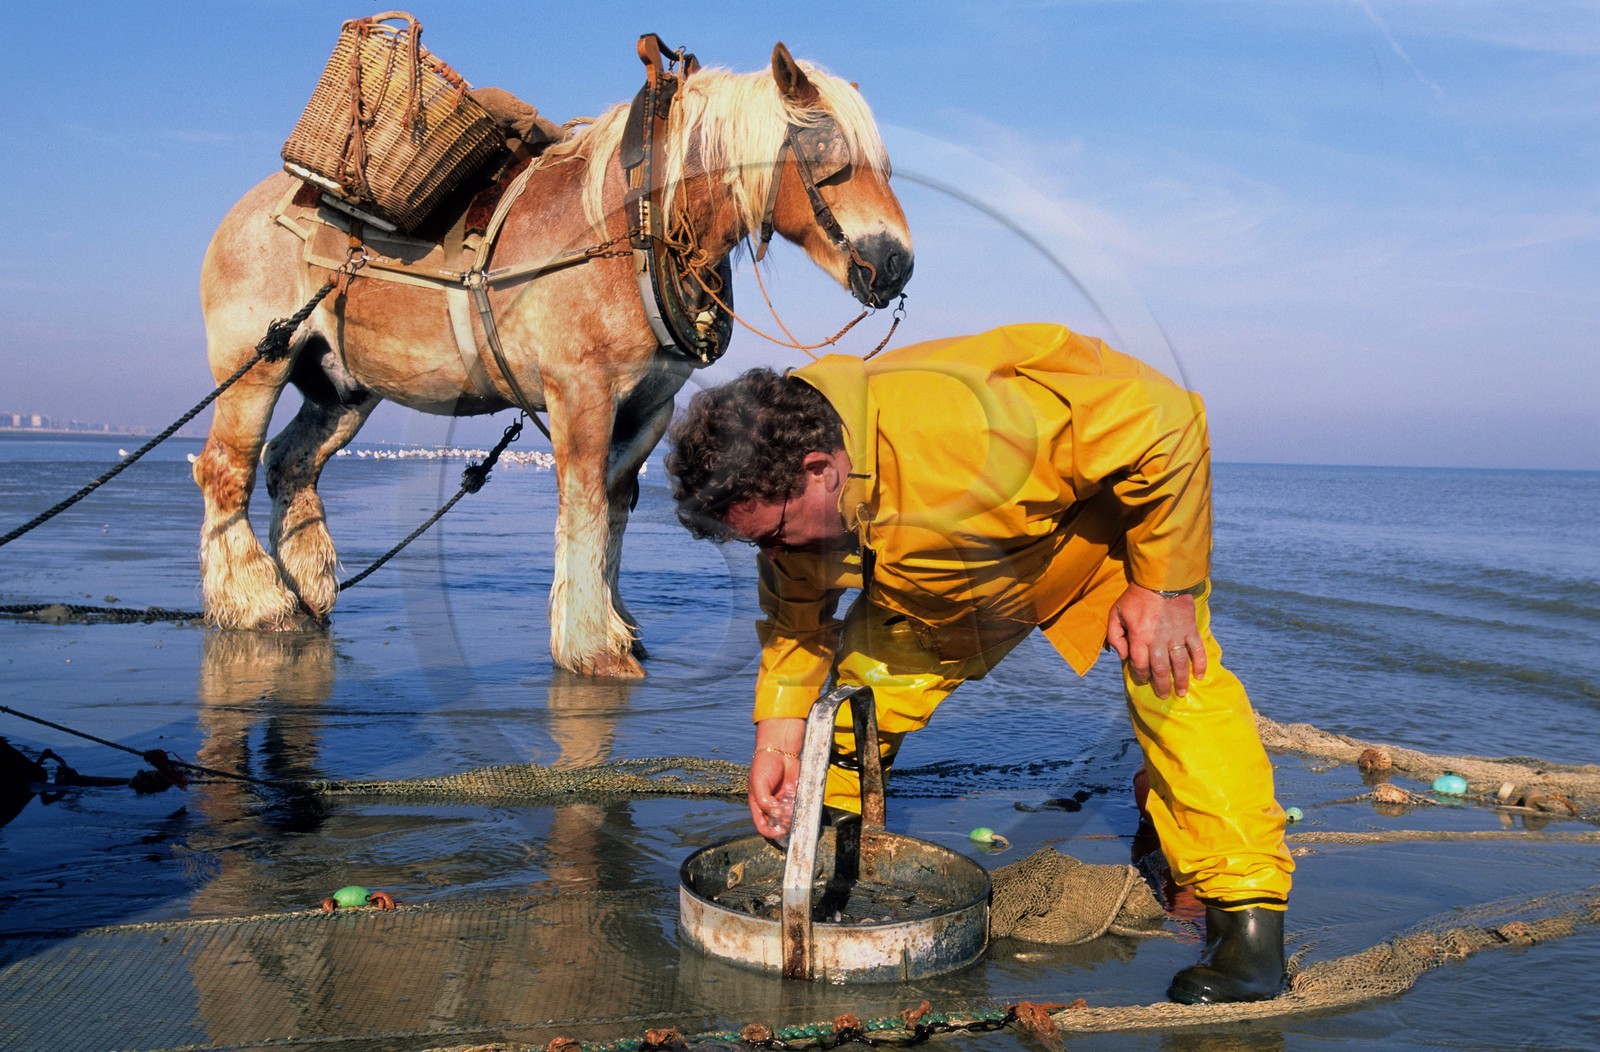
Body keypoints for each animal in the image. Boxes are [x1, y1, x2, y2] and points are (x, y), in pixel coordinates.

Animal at [193, 42, 913, 677]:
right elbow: (584, 501)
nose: (897, 261)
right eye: (824, 148)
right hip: (259, 360)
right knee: (226, 468)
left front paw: (615, 622)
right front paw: (591, 645)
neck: (634, 229)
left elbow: (615, 503)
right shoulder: (580, 389)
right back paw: (259, 602)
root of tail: (248, 208)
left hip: (342, 385)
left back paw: (309, 590)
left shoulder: (649, 405)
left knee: (291, 464)